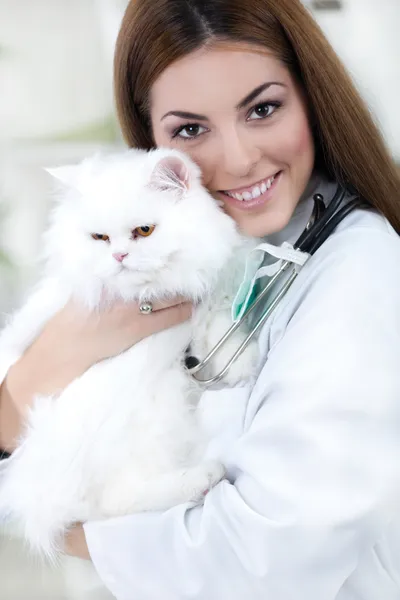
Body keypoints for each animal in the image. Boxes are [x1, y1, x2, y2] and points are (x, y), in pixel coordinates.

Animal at [0, 145, 258, 564]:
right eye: (100, 237)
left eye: (144, 231)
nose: (120, 256)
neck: (152, 292)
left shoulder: (203, 305)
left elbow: (217, 327)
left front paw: (242, 361)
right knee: (113, 502)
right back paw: (204, 477)